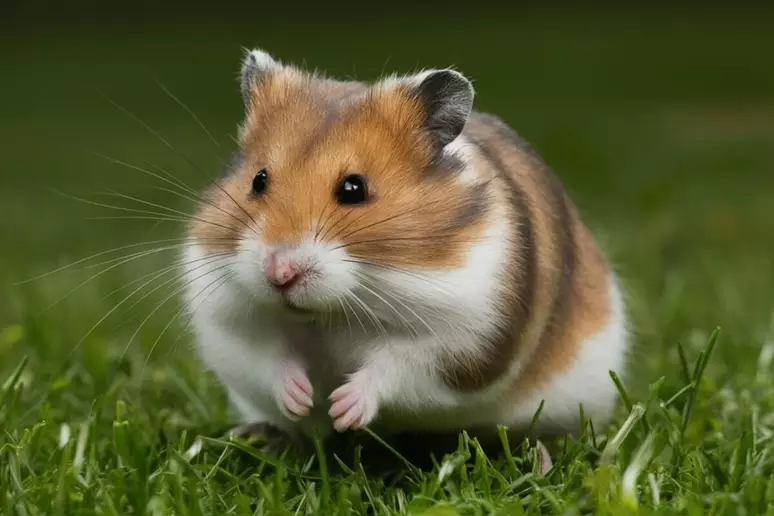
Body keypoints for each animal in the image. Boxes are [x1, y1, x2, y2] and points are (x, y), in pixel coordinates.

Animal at [181, 48, 629, 445]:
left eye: (354, 189)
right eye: (258, 180)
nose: (279, 273)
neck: (332, 312)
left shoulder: (465, 340)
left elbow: (398, 368)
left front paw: (343, 411)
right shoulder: (228, 324)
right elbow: (266, 358)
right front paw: (302, 403)